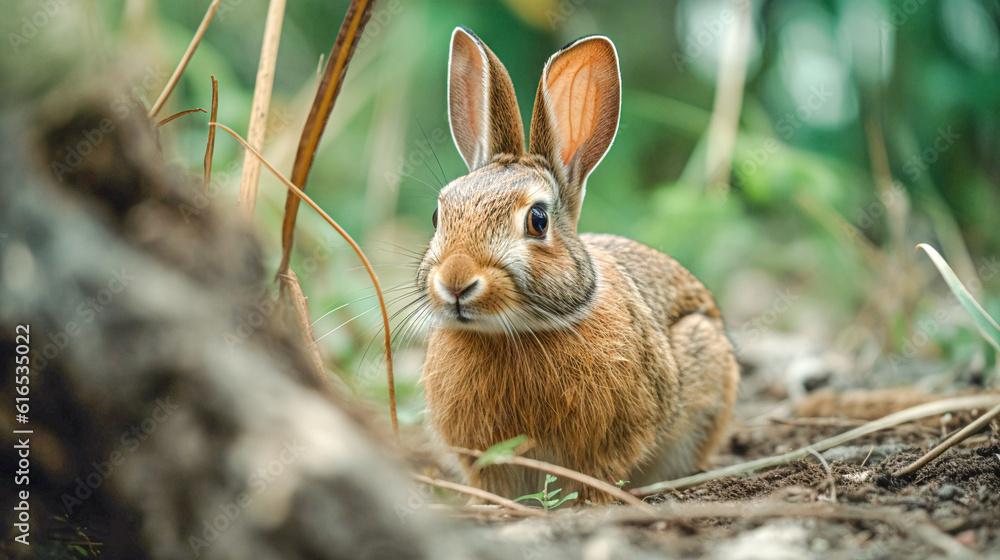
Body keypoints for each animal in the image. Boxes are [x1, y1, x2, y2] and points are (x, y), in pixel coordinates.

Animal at [416, 27, 740, 504]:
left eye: (537, 220)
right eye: (438, 216)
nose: (456, 281)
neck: (516, 332)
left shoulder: (614, 439)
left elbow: (599, 475)